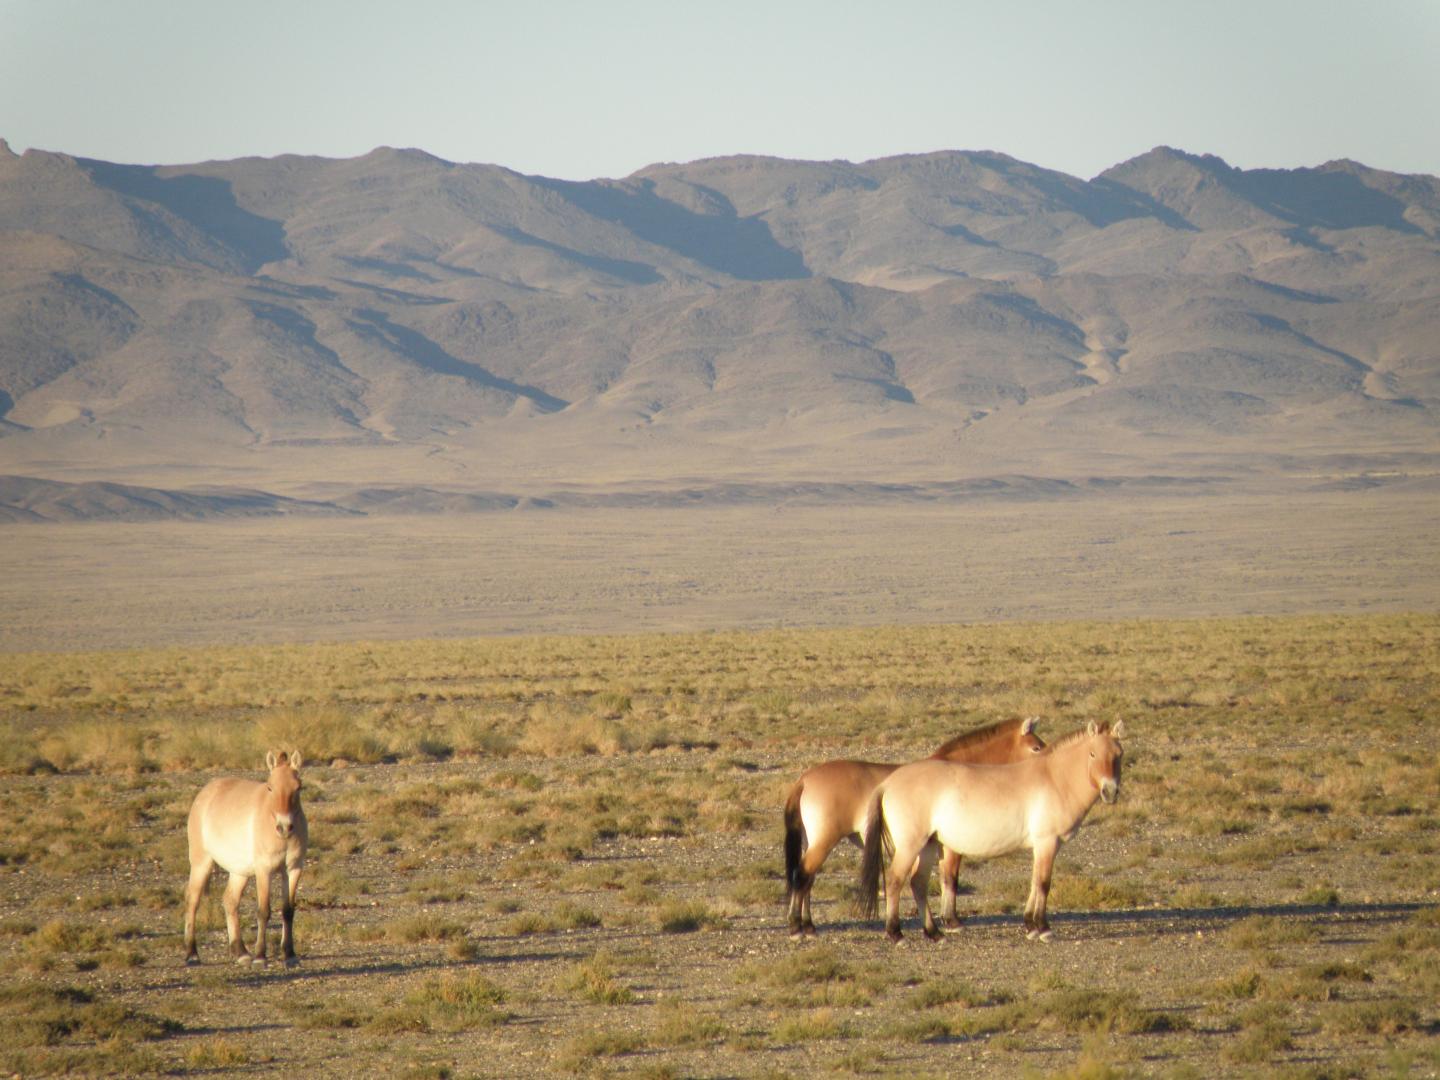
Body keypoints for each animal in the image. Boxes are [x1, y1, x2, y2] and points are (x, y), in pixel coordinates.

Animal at [183, 749, 308, 966]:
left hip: (238, 872)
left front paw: (290, 955)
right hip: (201, 863)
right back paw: (192, 953)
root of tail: (206, 792)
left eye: (298, 787)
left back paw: (240, 952)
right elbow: (264, 911)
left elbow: (288, 910)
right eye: (270, 787)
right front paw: (260, 956)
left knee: (230, 901)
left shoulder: (293, 870)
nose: (284, 827)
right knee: (193, 900)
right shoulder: (264, 871)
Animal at [783, 716, 1044, 937]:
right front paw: (952, 920)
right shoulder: (951, 848)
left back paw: (808, 926)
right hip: (825, 841)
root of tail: (805, 779)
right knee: (803, 875)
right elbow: (950, 878)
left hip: (813, 843)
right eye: (1036, 747)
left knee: (807, 880)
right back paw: (796, 927)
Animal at [855, 720, 1124, 942]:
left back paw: (934, 934)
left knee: (918, 883)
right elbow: (1043, 883)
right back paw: (896, 934)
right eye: (1092, 753)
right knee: (895, 881)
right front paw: (1043, 928)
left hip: (928, 846)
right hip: (911, 846)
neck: (1055, 778)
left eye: (1119, 755)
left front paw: (1030, 925)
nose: (1110, 791)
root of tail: (888, 784)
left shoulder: (1041, 846)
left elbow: (1034, 881)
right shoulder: (1047, 843)